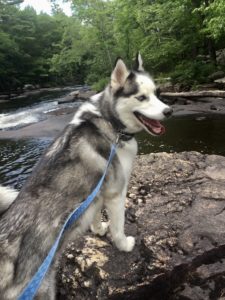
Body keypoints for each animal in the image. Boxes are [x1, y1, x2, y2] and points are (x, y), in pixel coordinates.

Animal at [0, 53, 172, 298]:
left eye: (157, 93)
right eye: (141, 97)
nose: (169, 111)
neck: (110, 122)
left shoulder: (99, 189)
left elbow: (95, 213)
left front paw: (98, 229)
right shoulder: (116, 192)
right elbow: (118, 227)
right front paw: (123, 244)